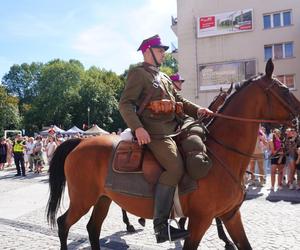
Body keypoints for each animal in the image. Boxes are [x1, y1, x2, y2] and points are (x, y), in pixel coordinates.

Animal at [46, 59, 300, 249]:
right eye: (284, 89)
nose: (299, 116)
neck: (221, 156)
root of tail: (80, 143)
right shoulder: (201, 220)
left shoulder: (231, 215)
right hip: (83, 198)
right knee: (63, 223)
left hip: (103, 198)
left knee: (92, 228)